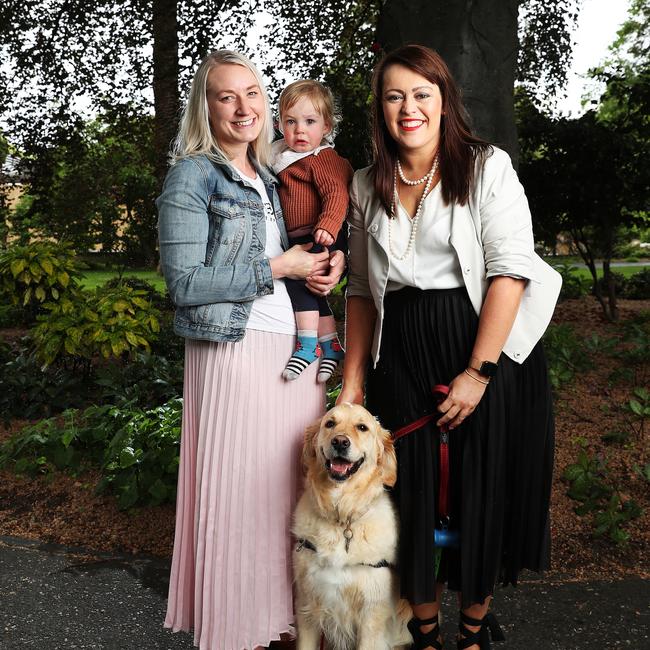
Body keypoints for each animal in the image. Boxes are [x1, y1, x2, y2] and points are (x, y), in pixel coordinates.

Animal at [292, 402, 410, 644]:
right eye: (330, 423)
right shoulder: (306, 607)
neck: (342, 518)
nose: (339, 442)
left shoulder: (372, 616)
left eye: (362, 427)